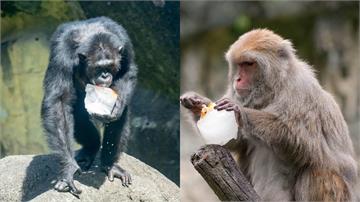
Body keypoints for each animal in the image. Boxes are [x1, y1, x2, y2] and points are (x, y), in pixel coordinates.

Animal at [41, 17, 138, 196]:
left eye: (110, 66)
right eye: (98, 68)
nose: (105, 75)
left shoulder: (125, 45)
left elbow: (128, 72)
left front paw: (118, 105)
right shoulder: (61, 53)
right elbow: (59, 101)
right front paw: (68, 169)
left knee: (120, 117)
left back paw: (109, 164)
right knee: (78, 113)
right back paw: (90, 149)